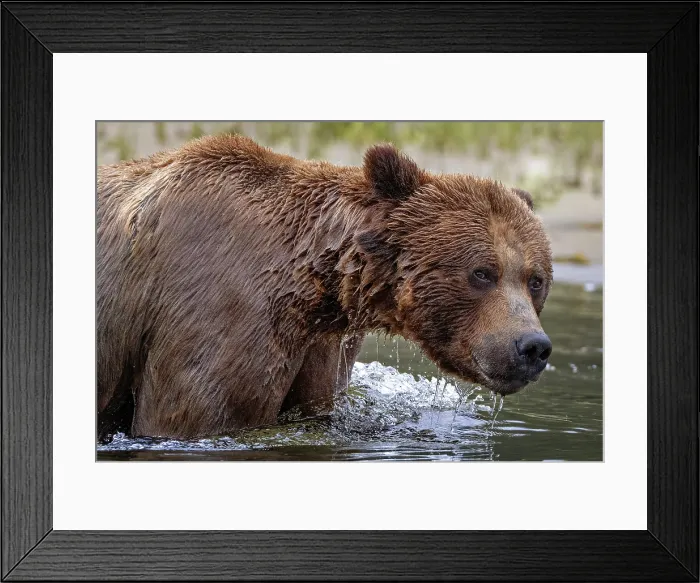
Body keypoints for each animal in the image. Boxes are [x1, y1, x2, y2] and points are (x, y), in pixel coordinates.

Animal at [97, 134, 553, 440]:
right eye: (482, 272)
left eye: (535, 280)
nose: (532, 346)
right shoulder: (219, 313)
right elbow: (192, 415)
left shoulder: (321, 346)